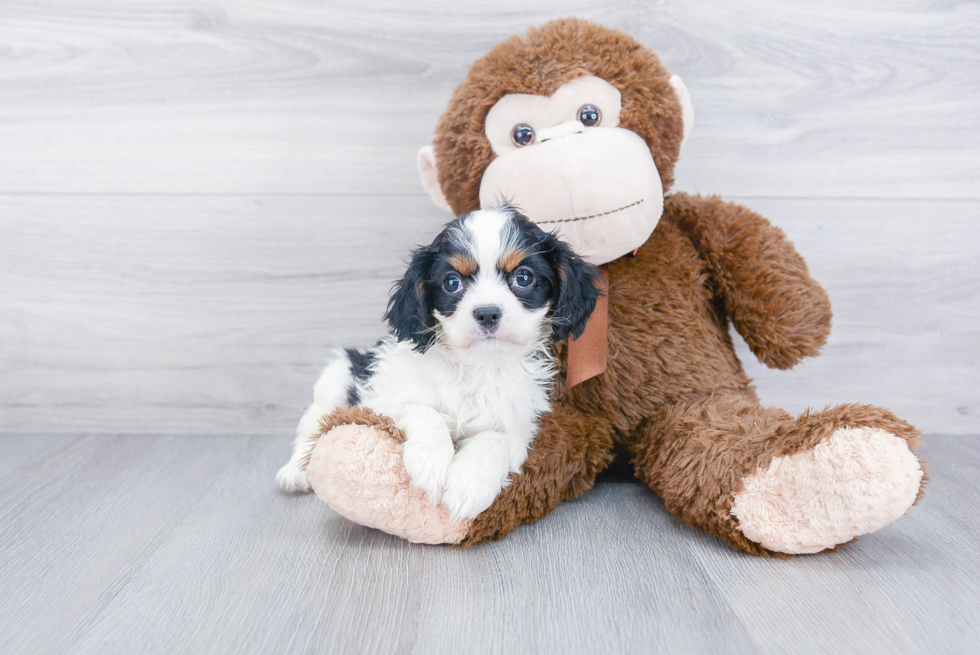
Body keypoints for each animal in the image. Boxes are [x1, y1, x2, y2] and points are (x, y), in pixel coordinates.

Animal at [274, 208, 596, 520]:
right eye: (452, 282)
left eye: (524, 278)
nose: (487, 313)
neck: (475, 366)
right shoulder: (381, 399)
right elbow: (422, 411)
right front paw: (430, 462)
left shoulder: (519, 426)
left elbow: (496, 439)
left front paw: (469, 485)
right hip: (338, 373)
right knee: (313, 426)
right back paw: (295, 472)